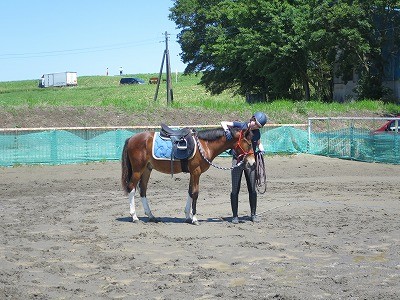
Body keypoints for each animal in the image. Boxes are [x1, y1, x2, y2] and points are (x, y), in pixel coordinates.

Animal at [120, 125, 255, 225]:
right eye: (249, 143)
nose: (252, 162)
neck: (205, 145)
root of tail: (131, 138)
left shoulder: (192, 173)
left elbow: (190, 192)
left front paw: (188, 216)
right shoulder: (196, 172)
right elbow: (195, 193)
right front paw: (194, 218)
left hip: (147, 169)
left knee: (142, 190)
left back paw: (151, 216)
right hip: (138, 170)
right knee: (132, 188)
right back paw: (134, 217)